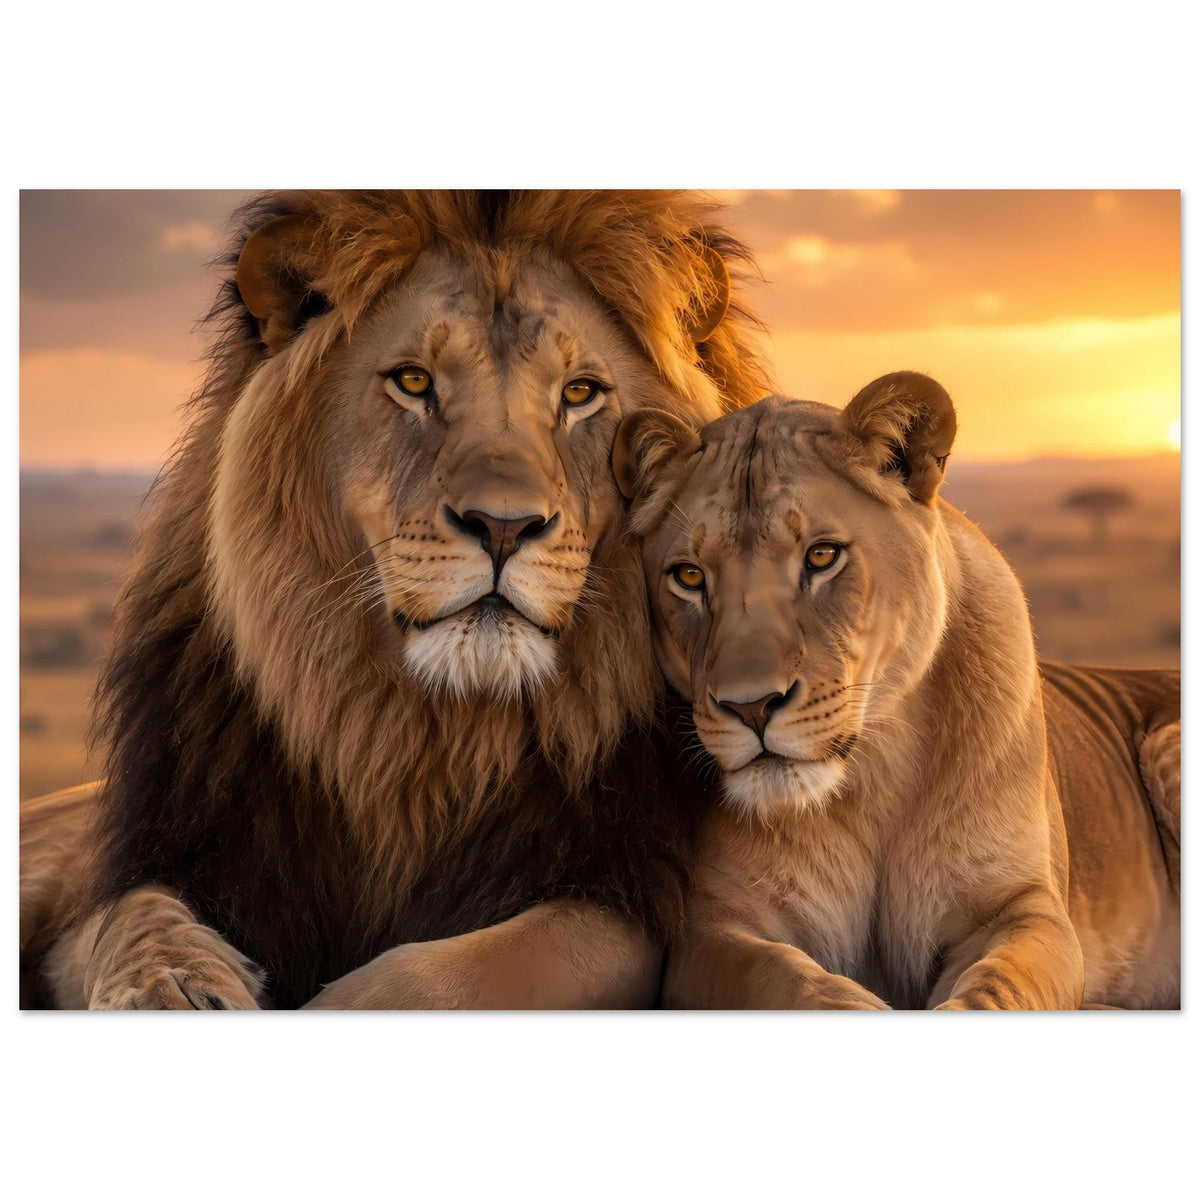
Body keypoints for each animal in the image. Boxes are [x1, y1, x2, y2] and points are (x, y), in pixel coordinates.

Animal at [19, 189, 773, 1010]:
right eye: (413, 383)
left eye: (579, 394)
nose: (503, 526)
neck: (420, 745)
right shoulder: (170, 853)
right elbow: (129, 917)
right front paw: (174, 987)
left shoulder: (620, 899)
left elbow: (430, 976)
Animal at [613, 373, 1180, 1009]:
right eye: (689, 577)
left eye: (822, 556)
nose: (750, 707)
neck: (873, 778)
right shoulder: (711, 933)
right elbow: (792, 982)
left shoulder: (1025, 909)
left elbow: (997, 987)